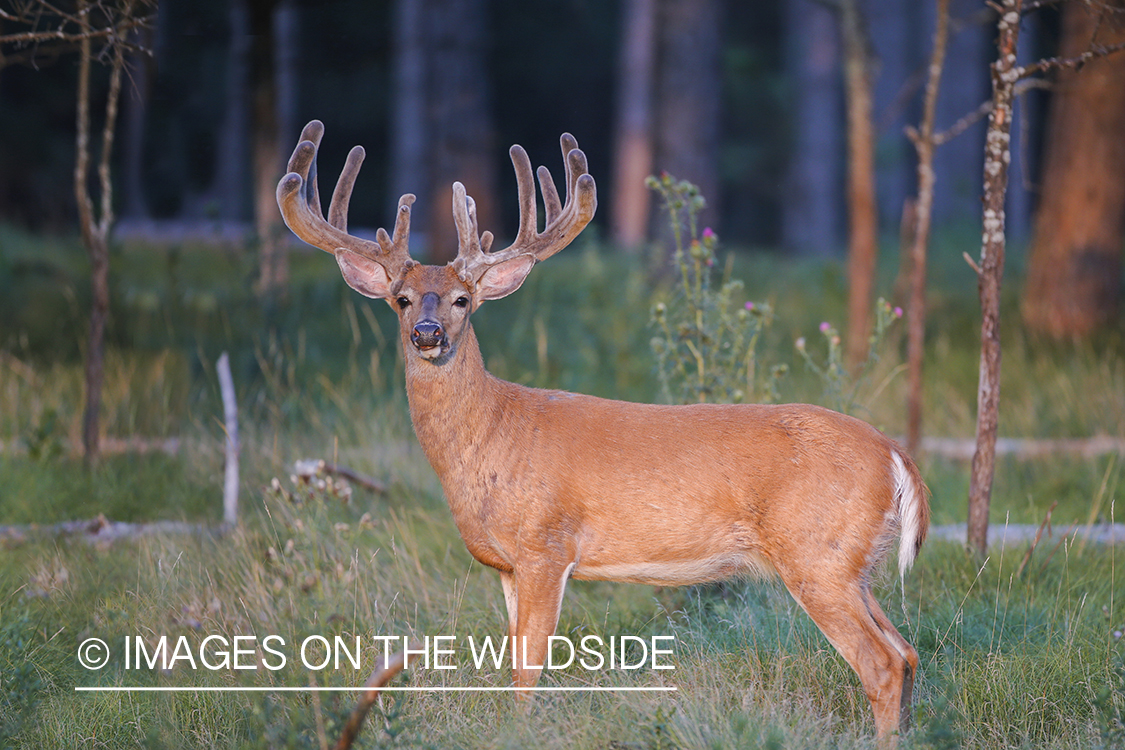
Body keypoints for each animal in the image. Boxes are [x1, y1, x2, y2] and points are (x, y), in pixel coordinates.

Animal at [279, 120, 931, 742]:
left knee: (880, 663)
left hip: (816, 552)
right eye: (402, 298)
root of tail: (896, 455)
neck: (491, 436)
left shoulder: (546, 545)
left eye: (463, 299)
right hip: (853, 563)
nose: (428, 334)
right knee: (907, 653)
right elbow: (511, 663)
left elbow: (528, 669)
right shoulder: (509, 566)